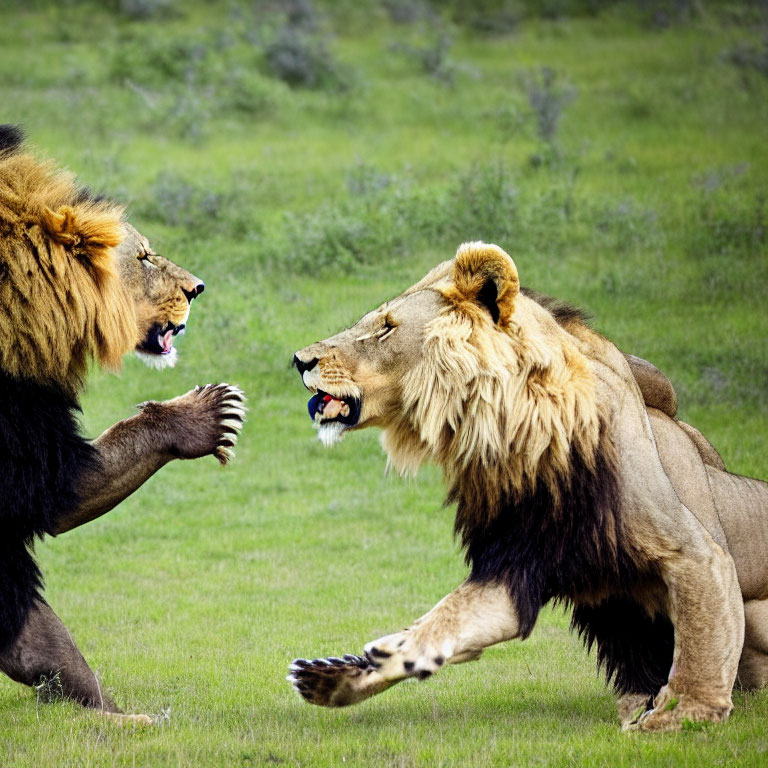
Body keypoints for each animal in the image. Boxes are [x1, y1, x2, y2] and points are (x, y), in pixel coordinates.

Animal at [290, 242, 768, 732]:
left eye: (386, 327)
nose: (299, 360)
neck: (515, 446)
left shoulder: (691, 551)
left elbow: (700, 635)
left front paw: (678, 714)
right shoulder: (514, 561)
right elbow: (449, 616)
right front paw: (347, 673)